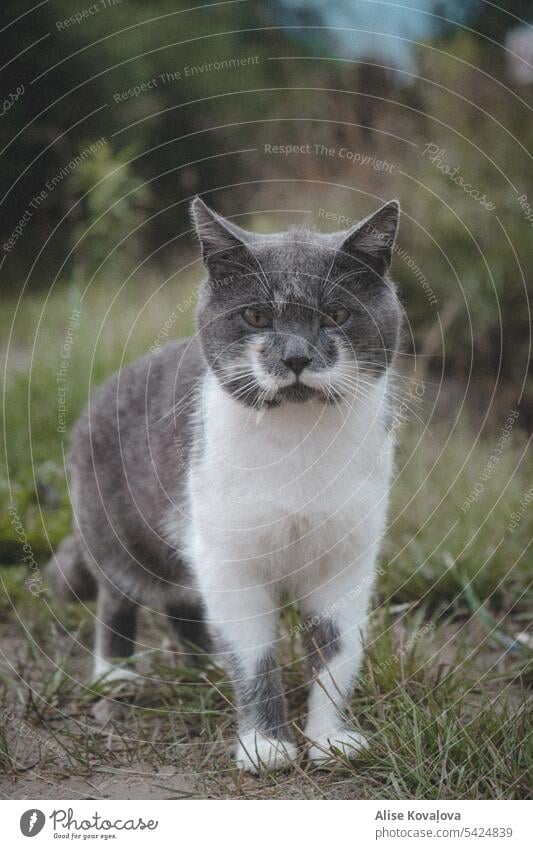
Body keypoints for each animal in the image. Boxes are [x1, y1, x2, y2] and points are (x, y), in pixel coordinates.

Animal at [47, 195, 402, 772]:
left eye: (336, 314)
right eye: (256, 315)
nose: (296, 357)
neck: (296, 443)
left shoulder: (345, 560)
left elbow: (336, 652)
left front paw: (328, 740)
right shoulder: (233, 561)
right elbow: (256, 658)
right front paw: (265, 746)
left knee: (183, 603)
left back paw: (205, 667)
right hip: (119, 532)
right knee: (118, 596)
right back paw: (116, 675)